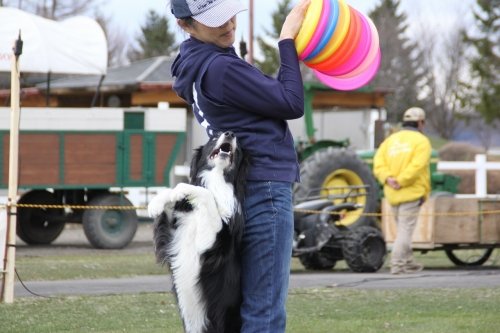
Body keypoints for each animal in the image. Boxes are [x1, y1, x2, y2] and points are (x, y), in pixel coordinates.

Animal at [148, 131, 250, 332]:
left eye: (240, 145)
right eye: (214, 137)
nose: (230, 133)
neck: (218, 179)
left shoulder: (211, 243)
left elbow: (206, 195)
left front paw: (181, 190)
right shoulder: (172, 235)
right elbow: (173, 194)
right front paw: (156, 202)